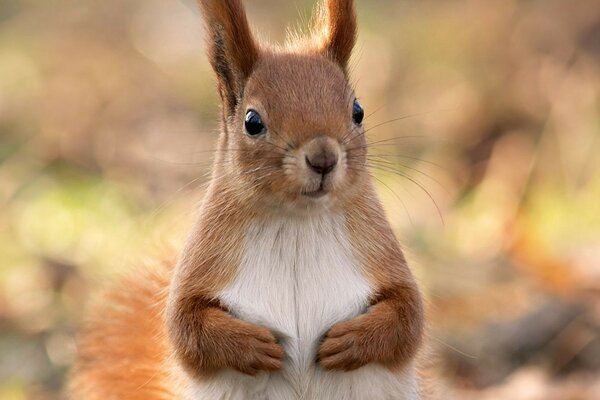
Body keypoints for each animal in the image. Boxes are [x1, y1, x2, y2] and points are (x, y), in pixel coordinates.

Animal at [69, 0, 426, 400]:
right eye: (252, 122)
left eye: (358, 111)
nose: (323, 158)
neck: (296, 222)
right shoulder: (204, 260)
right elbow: (185, 326)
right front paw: (254, 347)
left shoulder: (379, 251)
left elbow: (409, 316)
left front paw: (348, 341)